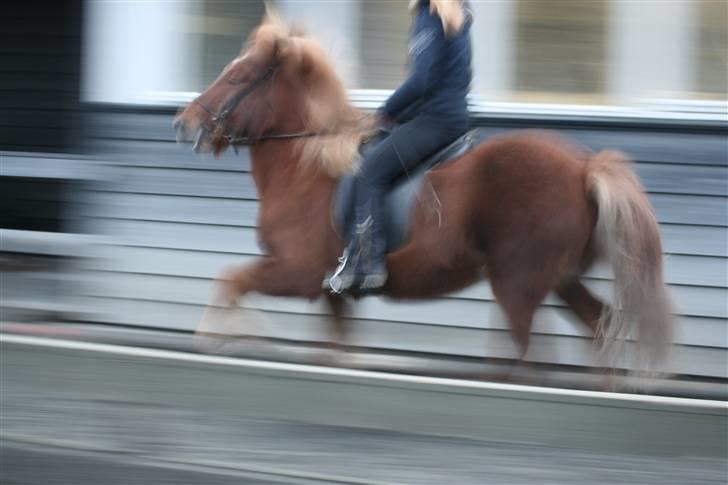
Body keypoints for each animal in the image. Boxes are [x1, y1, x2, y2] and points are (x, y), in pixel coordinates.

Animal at [173, 12, 672, 374]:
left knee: (530, 356)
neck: (306, 163)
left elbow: (230, 280)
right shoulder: (332, 293)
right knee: (599, 326)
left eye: (238, 78)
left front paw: (222, 334)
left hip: (517, 283)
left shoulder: (297, 271)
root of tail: (585, 168)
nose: (184, 125)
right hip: (560, 278)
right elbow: (334, 348)